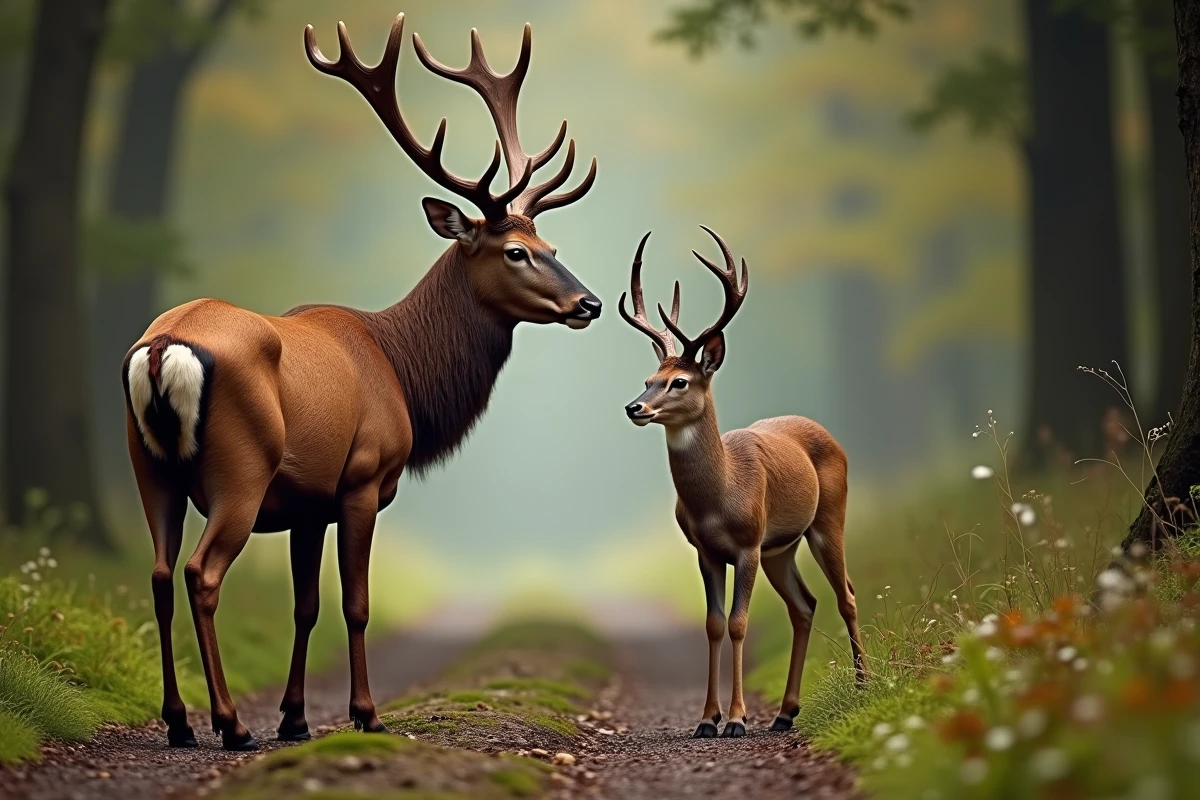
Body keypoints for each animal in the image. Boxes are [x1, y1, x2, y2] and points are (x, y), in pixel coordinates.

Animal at [121, 13, 601, 751]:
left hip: (151, 467)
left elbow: (306, 606)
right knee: (202, 574)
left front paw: (295, 718)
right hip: (240, 468)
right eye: (516, 251)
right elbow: (356, 603)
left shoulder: (305, 501)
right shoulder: (363, 477)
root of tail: (162, 351)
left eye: (554, 247)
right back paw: (229, 724)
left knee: (158, 574)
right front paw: (364, 713)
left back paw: (178, 723)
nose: (589, 303)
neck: (401, 370)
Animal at [618, 228, 867, 738]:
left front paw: (735, 719)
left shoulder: (748, 544)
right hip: (780, 548)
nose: (634, 407)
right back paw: (786, 713)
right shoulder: (706, 551)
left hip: (827, 519)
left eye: (680, 382)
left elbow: (738, 623)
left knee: (846, 594)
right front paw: (706, 719)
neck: (719, 498)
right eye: (648, 378)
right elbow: (713, 624)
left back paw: (863, 685)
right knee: (805, 605)